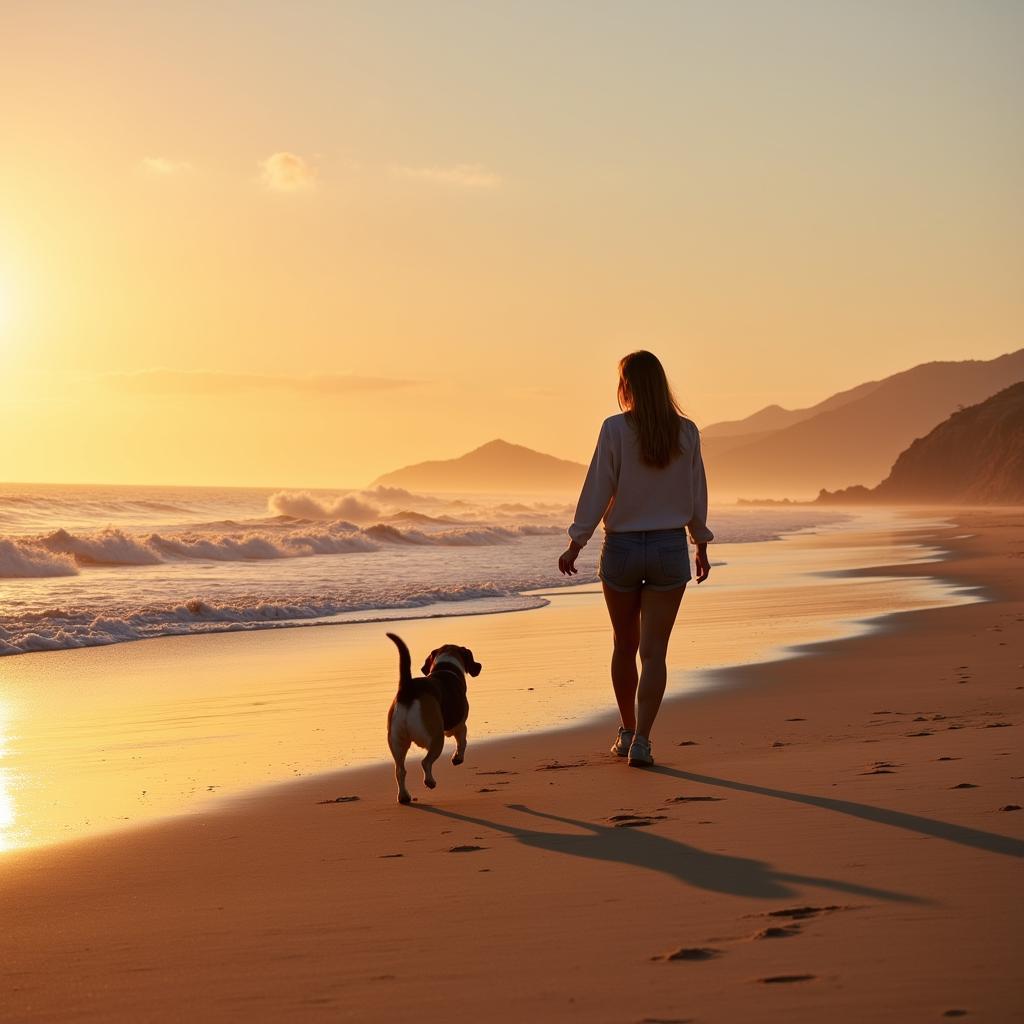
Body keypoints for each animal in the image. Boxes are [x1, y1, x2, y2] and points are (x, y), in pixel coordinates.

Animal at [385, 626, 481, 802]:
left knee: (400, 771)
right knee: (425, 762)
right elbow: (463, 741)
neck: (446, 666)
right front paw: (457, 758)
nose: (480, 665)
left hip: (396, 742)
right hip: (436, 738)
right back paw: (430, 781)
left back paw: (404, 796)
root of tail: (408, 688)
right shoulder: (459, 725)